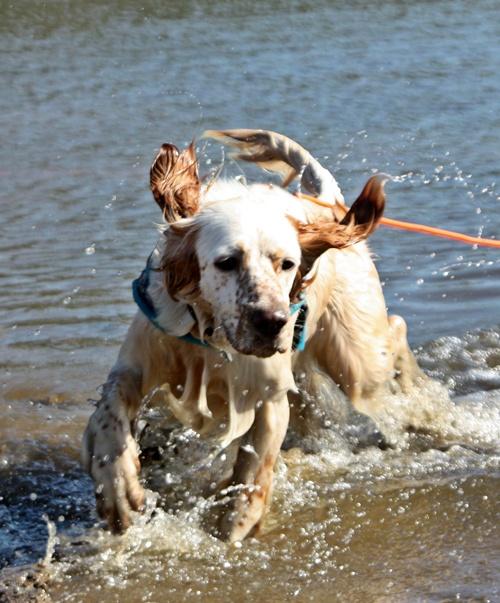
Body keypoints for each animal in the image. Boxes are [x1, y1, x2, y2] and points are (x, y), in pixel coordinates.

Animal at [82, 127, 422, 544]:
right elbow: (109, 413)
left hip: (357, 362)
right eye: (227, 262)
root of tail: (328, 206)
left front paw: (235, 524)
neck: (212, 337)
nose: (273, 322)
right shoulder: (141, 359)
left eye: (287, 264)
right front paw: (117, 488)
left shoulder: (267, 392)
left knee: (396, 331)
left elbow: (255, 467)